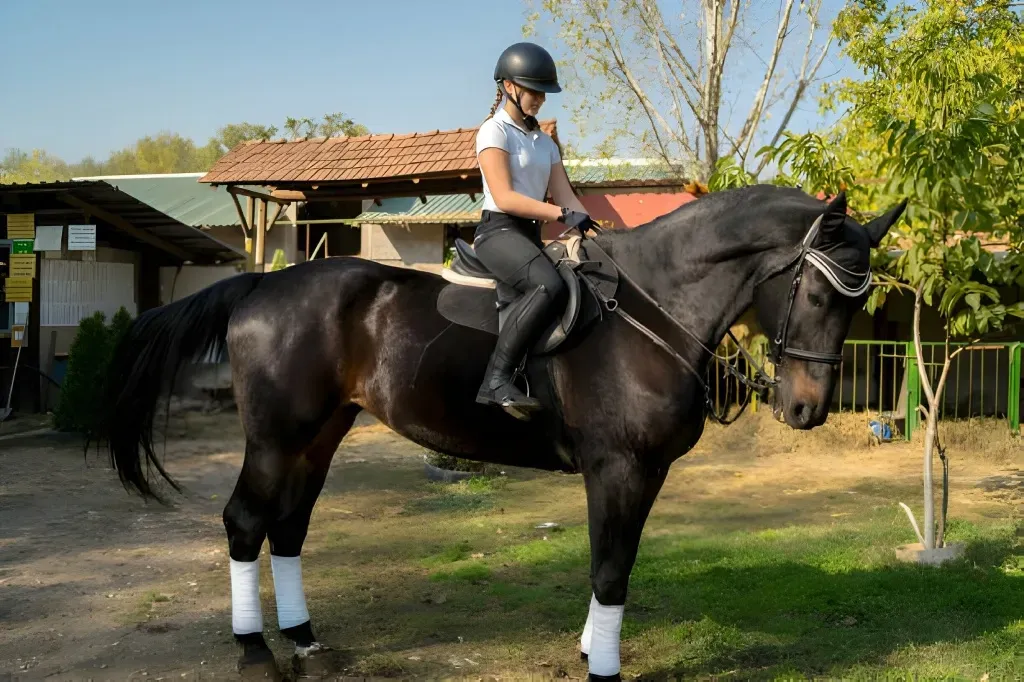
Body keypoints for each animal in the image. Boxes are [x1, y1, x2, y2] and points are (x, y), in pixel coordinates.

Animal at [101, 185, 905, 681]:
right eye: (818, 292)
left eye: (859, 301)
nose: (805, 410)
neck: (652, 312)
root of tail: (263, 283)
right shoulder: (618, 467)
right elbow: (609, 570)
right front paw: (602, 666)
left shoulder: (644, 473)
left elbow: (618, 564)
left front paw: (590, 647)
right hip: (276, 436)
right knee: (245, 521)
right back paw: (254, 654)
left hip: (320, 433)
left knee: (289, 525)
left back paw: (305, 642)